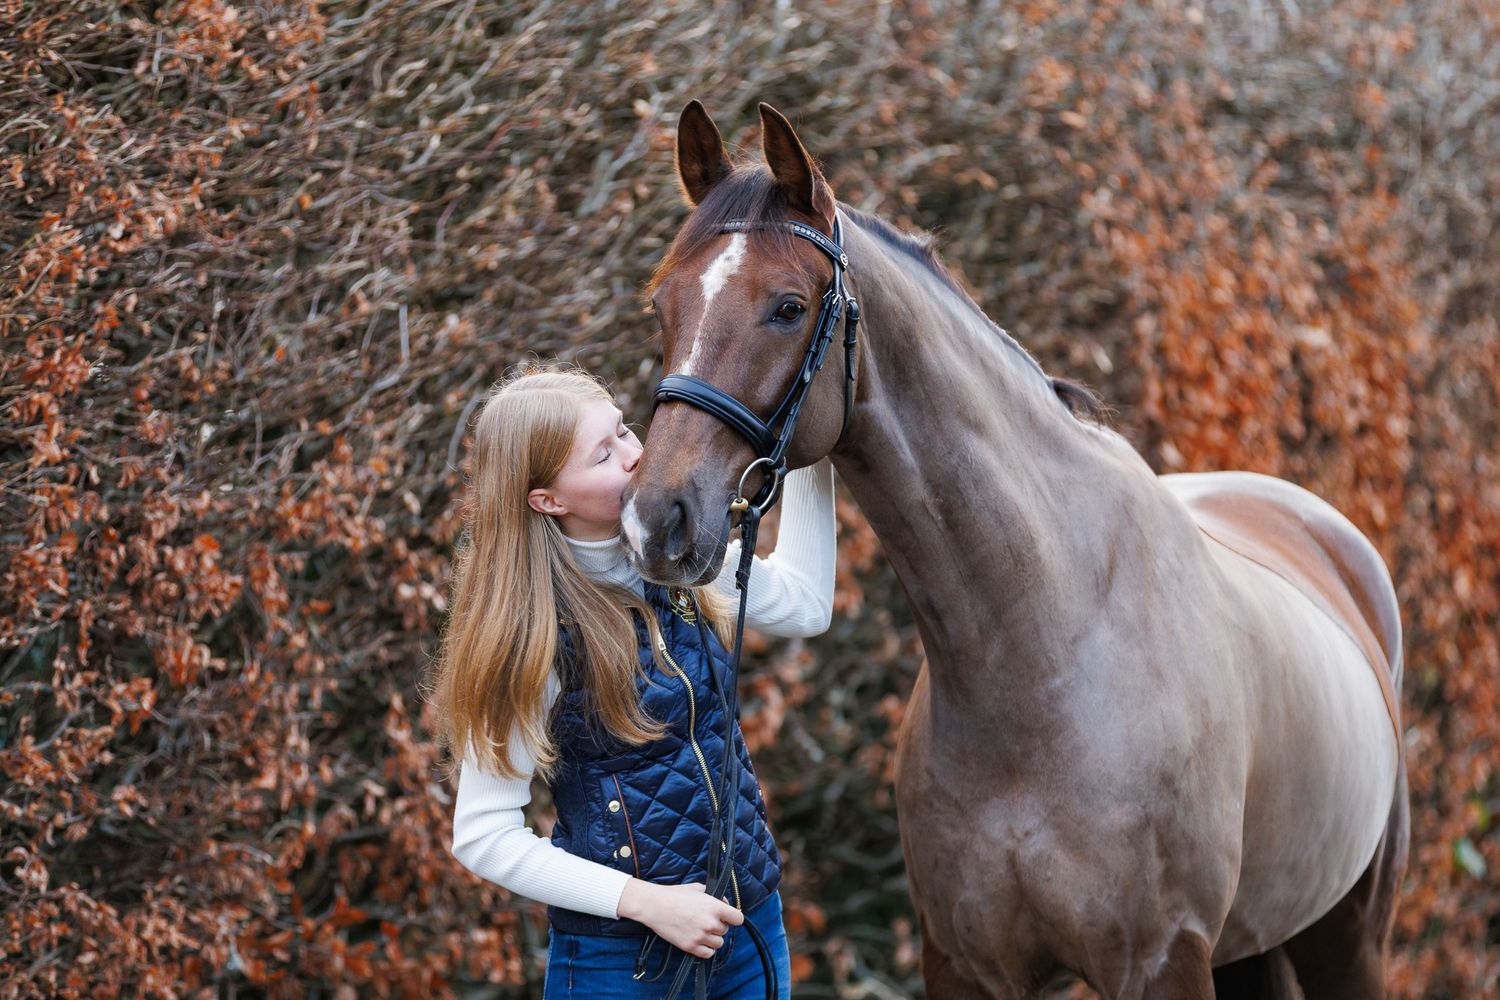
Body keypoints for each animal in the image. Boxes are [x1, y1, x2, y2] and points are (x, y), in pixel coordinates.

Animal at [620, 99, 1409, 1000]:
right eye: (663, 305)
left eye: (787, 306)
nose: (655, 520)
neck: (1043, 655)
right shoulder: (963, 964)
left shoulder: (1162, 961)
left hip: (1348, 936)